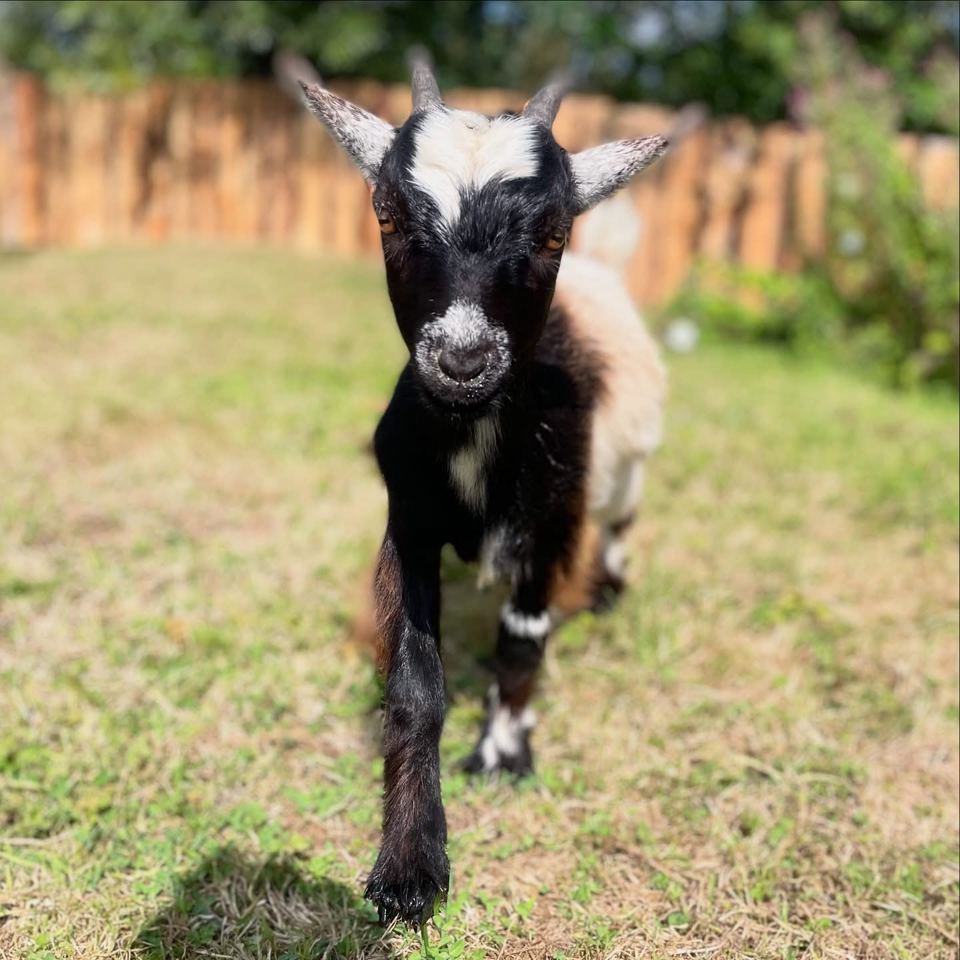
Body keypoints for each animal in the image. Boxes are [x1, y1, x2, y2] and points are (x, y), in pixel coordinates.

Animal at [302, 61, 667, 926]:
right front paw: (409, 865)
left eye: (553, 232)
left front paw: (504, 752)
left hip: (625, 473)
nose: (462, 360)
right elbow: (413, 682)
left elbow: (522, 641)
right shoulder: (408, 523)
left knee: (623, 524)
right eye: (388, 214)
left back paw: (609, 591)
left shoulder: (555, 523)